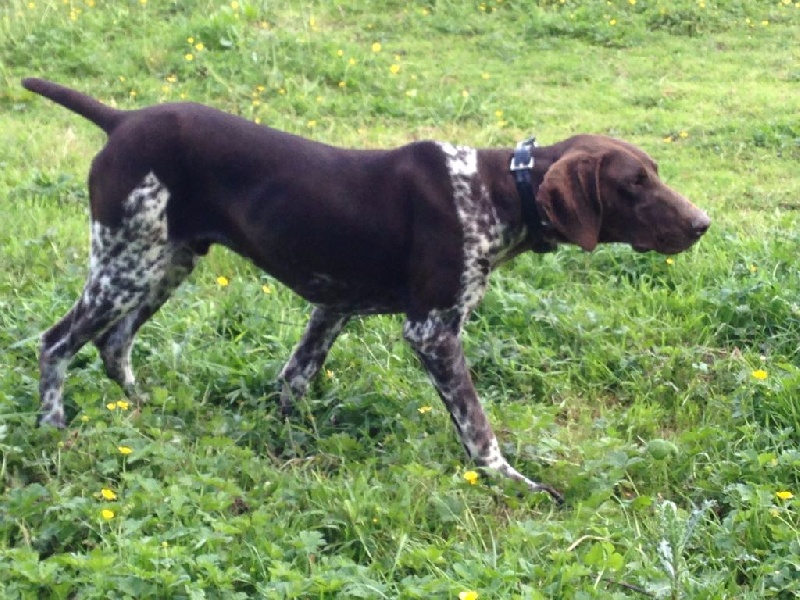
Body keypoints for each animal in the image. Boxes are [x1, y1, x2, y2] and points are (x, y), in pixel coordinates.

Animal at [23, 78, 710, 502]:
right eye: (636, 183)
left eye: (654, 173)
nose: (703, 223)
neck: (496, 192)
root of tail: (122, 119)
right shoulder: (433, 333)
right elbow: (478, 429)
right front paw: (513, 482)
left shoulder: (332, 308)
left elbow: (294, 380)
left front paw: (291, 444)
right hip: (125, 266)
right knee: (57, 343)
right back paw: (53, 430)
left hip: (164, 263)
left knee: (113, 345)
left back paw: (143, 408)